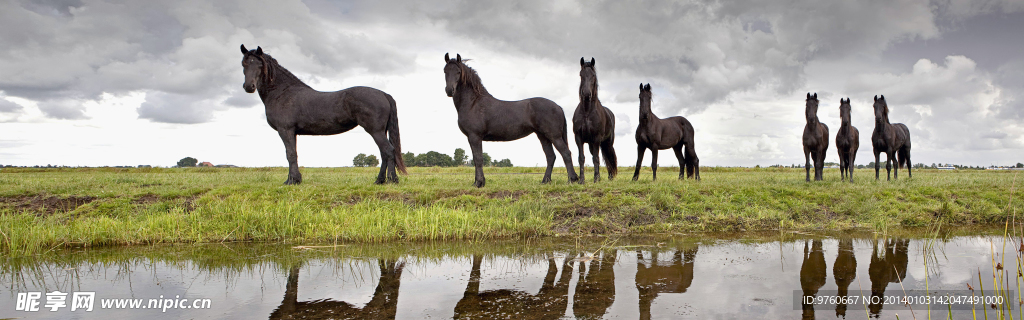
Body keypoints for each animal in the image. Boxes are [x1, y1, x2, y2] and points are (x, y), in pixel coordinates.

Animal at [239, 45, 403, 184]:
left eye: (260, 65)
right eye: (244, 64)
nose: (249, 87)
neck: (282, 92)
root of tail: (383, 94)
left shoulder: (285, 130)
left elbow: (290, 154)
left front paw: (292, 181)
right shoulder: (292, 132)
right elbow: (293, 153)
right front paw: (295, 179)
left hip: (375, 131)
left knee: (388, 151)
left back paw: (392, 180)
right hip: (381, 131)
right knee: (384, 153)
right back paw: (380, 180)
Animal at [444, 52, 581, 187]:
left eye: (458, 72)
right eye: (445, 71)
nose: (449, 90)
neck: (473, 103)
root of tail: (558, 107)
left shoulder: (475, 136)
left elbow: (478, 159)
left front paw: (479, 183)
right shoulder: (472, 137)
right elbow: (476, 158)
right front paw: (478, 182)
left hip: (554, 136)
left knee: (566, 153)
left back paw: (572, 179)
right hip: (543, 136)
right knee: (551, 157)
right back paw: (545, 181)